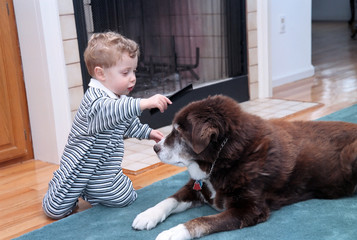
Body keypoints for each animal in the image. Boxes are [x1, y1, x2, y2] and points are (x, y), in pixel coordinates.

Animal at [131, 94, 356, 239]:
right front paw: (147, 215)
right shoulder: (197, 188)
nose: (155, 148)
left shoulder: (248, 210)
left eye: (178, 132)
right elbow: (169, 200)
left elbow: (202, 220)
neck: (223, 160)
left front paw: (175, 232)